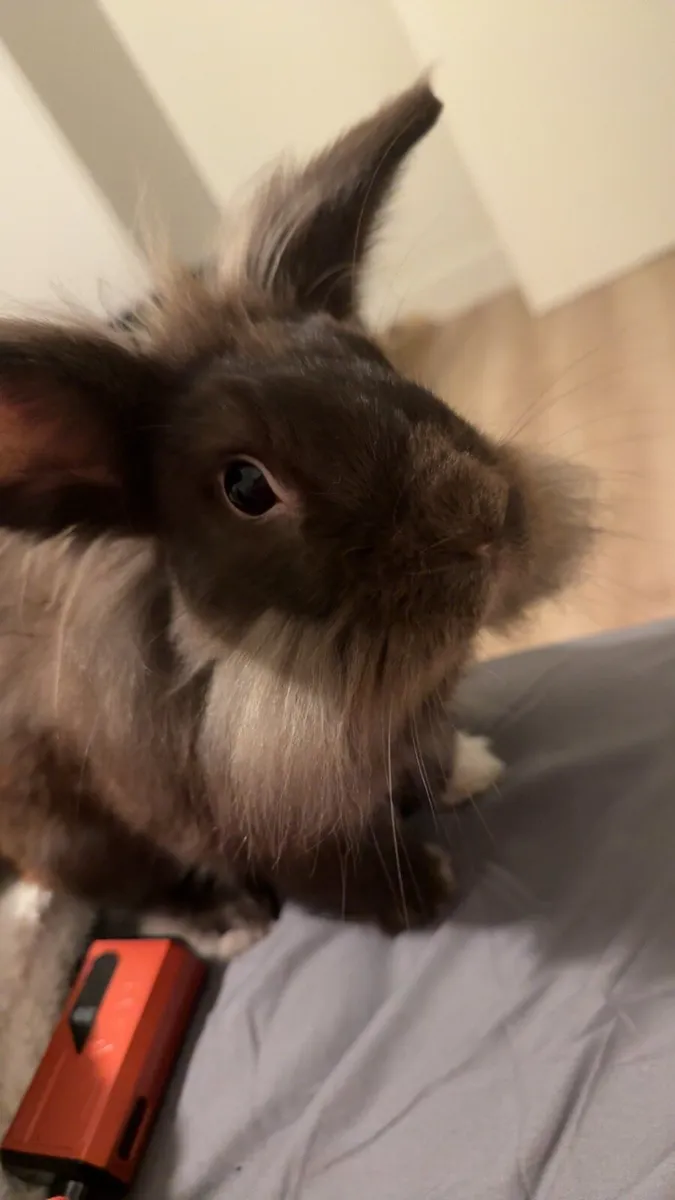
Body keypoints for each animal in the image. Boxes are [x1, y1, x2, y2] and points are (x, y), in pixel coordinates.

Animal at [0, 83, 593, 958]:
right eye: (246, 486)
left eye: (375, 361)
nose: (488, 523)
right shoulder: (237, 814)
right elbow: (323, 867)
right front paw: (421, 893)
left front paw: (466, 769)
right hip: (70, 837)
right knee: (129, 888)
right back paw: (229, 923)